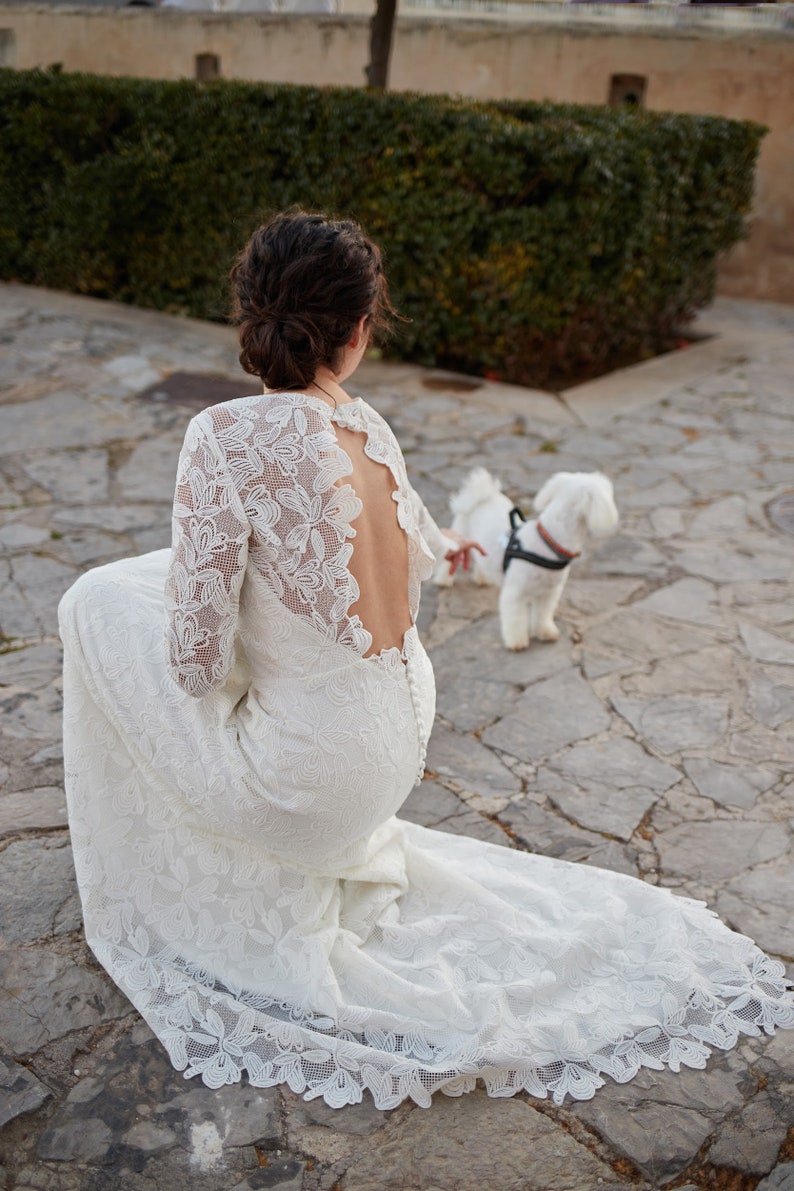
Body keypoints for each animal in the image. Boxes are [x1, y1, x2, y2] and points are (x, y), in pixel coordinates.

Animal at [438, 469, 619, 652]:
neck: (548, 541)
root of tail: (481, 495)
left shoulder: (549, 592)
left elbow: (542, 614)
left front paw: (545, 631)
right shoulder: (515, 593)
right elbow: (516, 619)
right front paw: (517, 641)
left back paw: (482, 579)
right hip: (460, 536)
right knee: (448, 560)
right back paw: (444, 580)